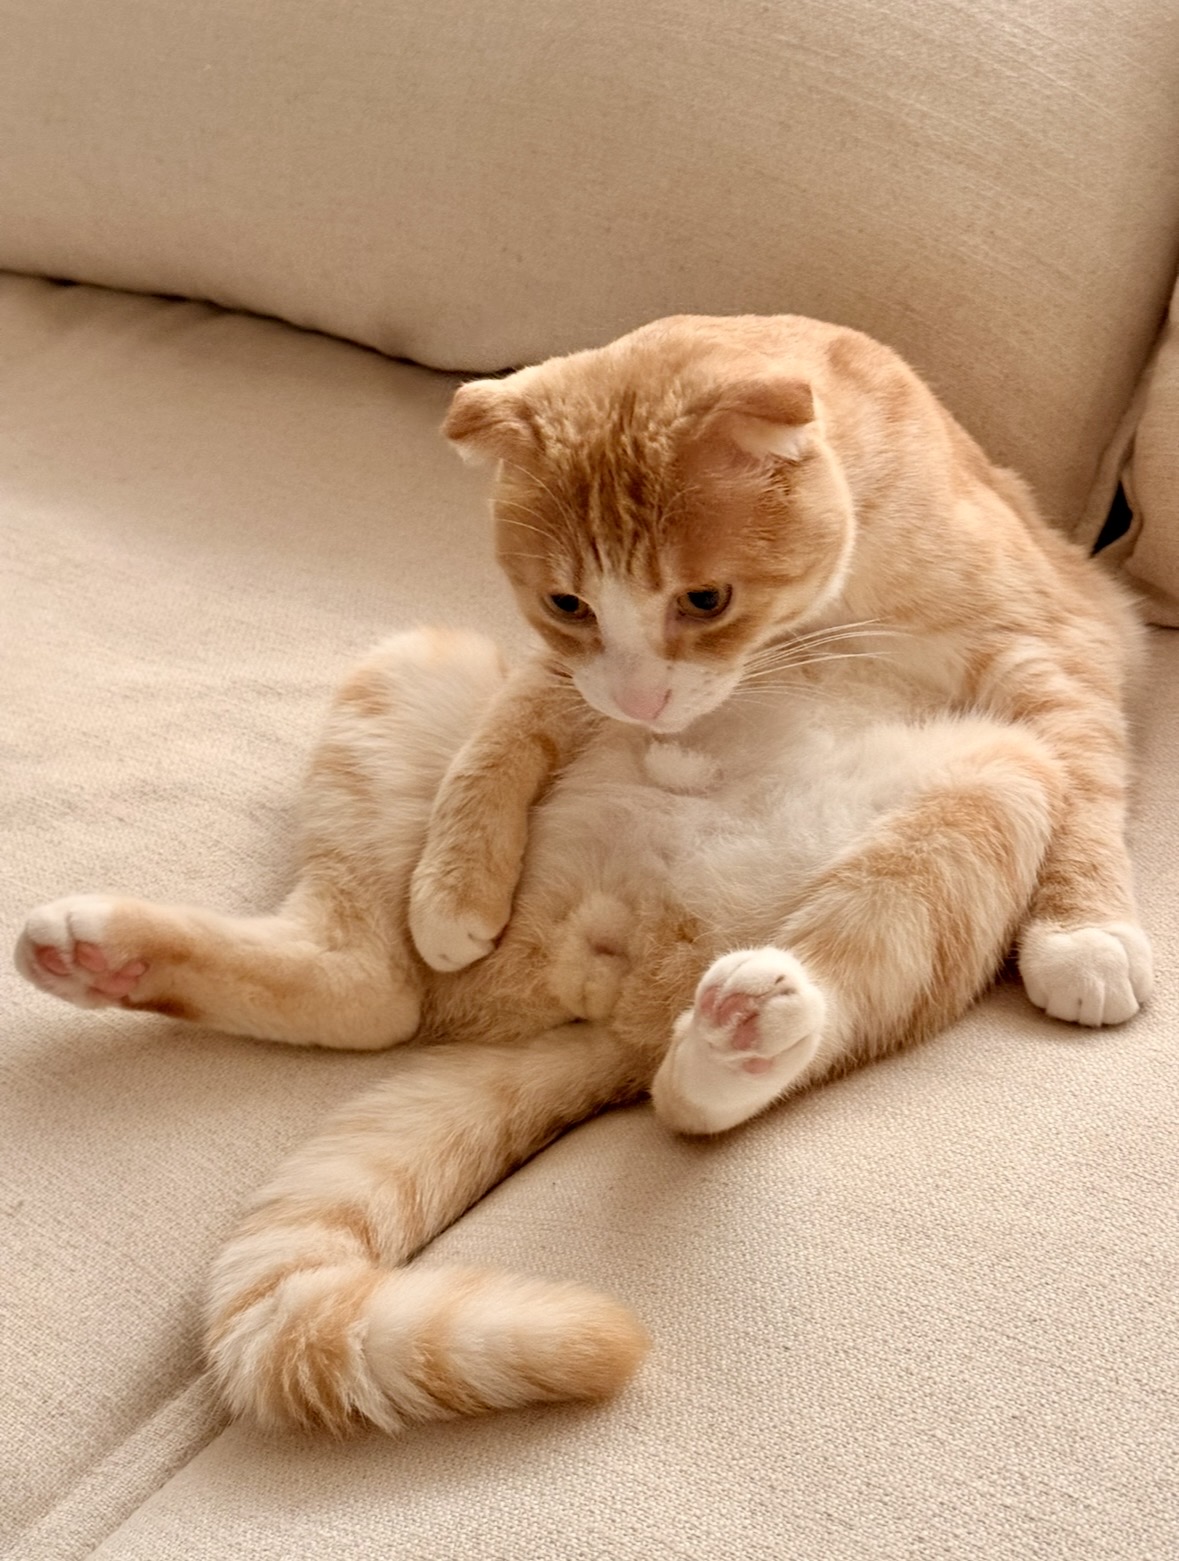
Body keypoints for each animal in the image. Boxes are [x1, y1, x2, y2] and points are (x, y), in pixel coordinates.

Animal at [15, 313, 1153, 1438]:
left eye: (705, 598)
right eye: (566, 602)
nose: (646, 707)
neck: (824, 608)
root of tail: (612, 992)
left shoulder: (1057, 646)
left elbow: (1095, 783)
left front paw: (1085, 932)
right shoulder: (553, 670)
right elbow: (509, 728)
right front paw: (453, 884)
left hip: (989, 788)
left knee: (707, 1087)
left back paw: (737, 1039)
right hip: (414, 665)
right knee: (371, 989)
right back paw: (98, 954)